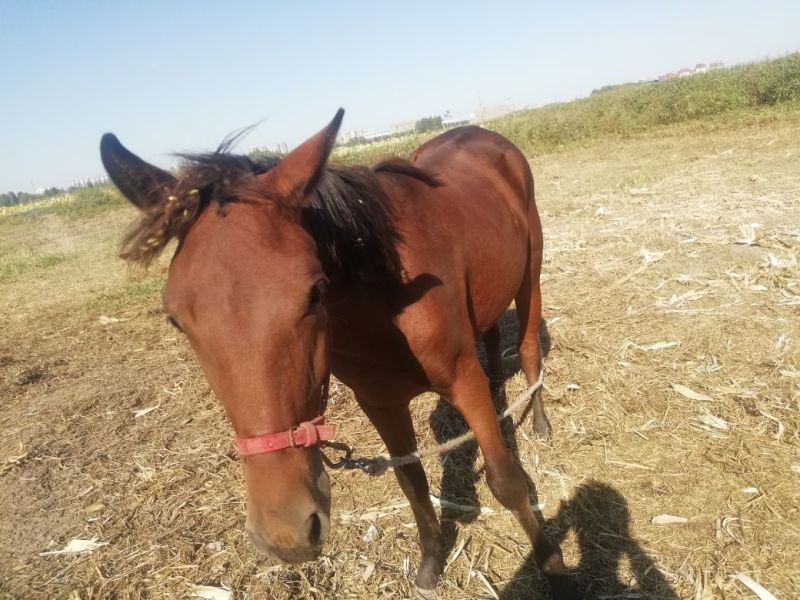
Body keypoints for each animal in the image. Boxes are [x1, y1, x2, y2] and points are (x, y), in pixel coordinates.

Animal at [100, 109, 575, 597]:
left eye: (315, 293)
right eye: (176, 319)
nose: (285, 532)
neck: (387, 297)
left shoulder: (464, 380)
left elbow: (506, 482)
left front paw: (551, 564)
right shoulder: (381, 404)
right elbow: (412, 483)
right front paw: (430, 562)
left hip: (530, 274)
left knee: (528, 350)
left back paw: (539, 423)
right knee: (495, 343)